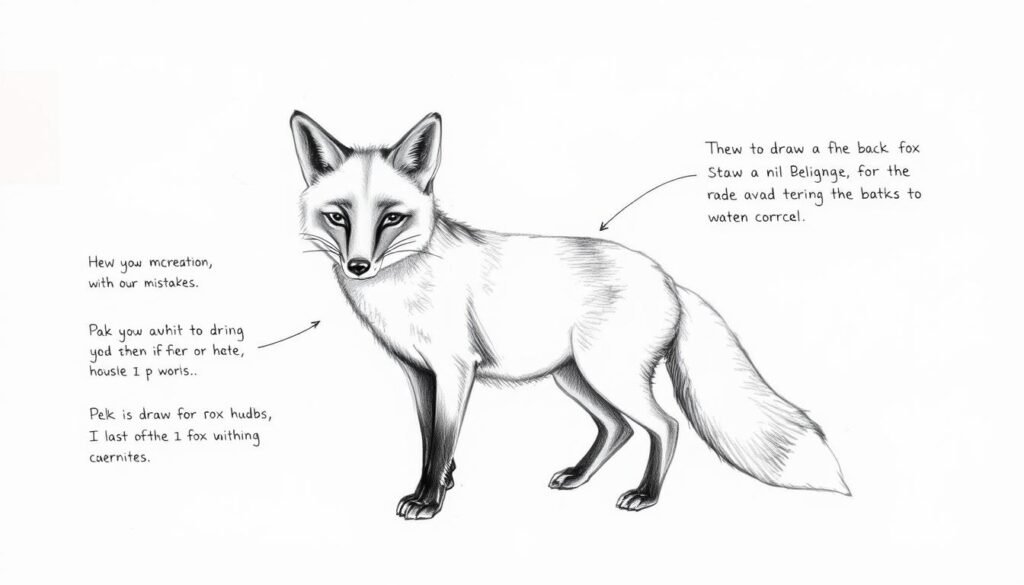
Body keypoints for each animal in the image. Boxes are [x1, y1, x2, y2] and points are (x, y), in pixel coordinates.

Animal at [289, 111, 849, 520]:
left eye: (391, 218)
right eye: (338, 216)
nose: (358, 266)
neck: (403, 286)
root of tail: (668, 277)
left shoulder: (455, 369)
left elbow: (442, 440)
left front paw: (428, 500)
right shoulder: (418, 373)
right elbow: (432, 440)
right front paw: (442, 483)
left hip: (608, 375)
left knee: (665, 426)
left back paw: (646, 497)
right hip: (574, 378)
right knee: (618, 429)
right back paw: (579, 477)